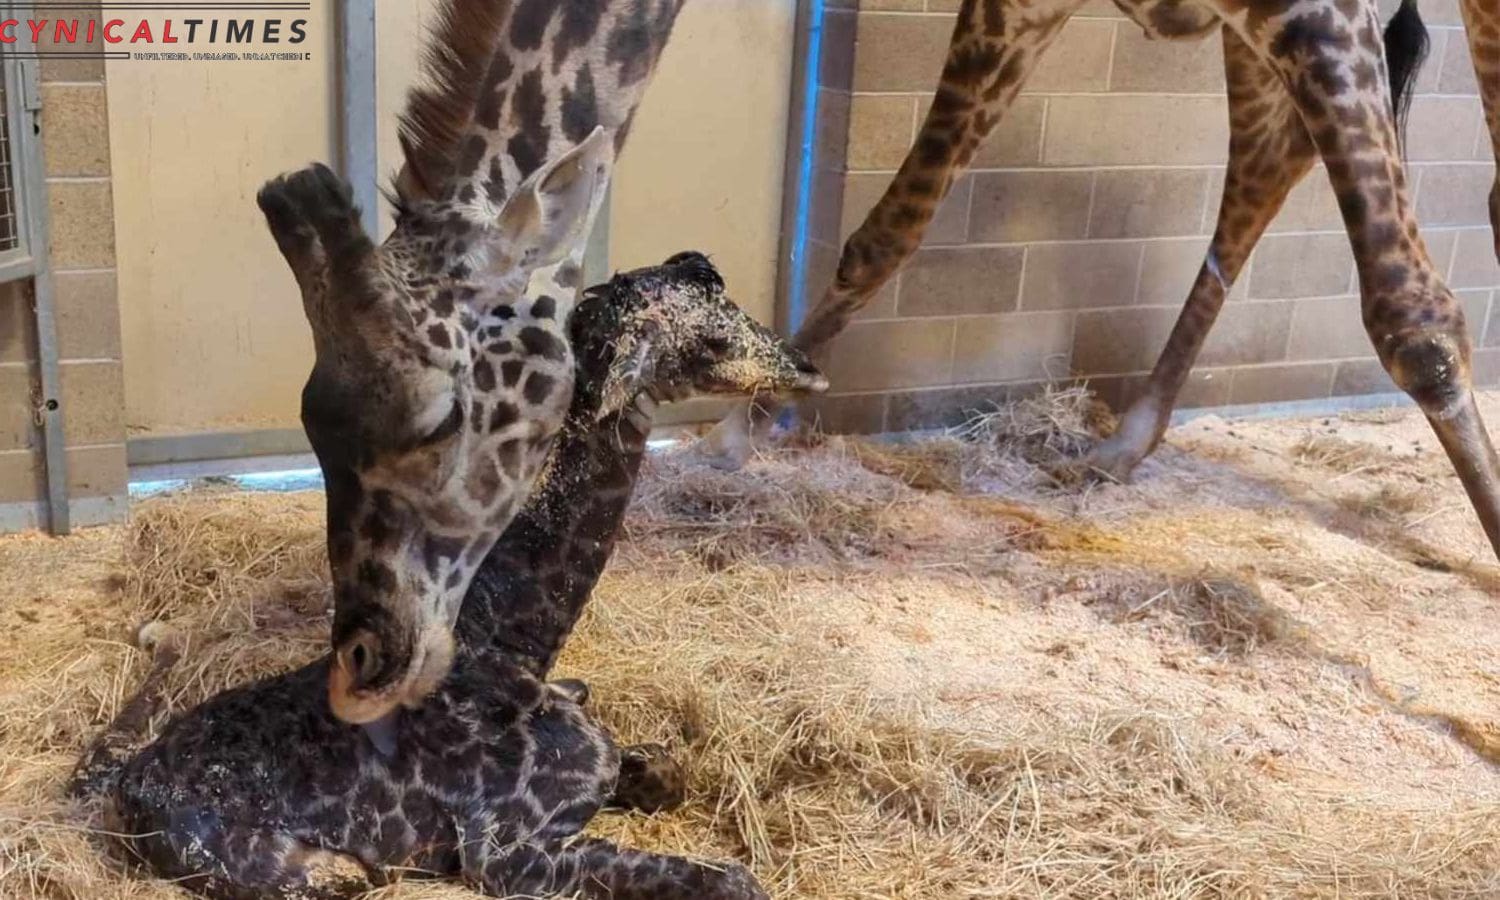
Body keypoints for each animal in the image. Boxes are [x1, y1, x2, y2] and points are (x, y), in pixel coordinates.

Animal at [76, 255, 828, 900]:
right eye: (713, 335)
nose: (809, 368)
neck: (514, 640)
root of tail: (128, 784)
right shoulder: (504, 849)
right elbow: (735, 880)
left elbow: (670, 771)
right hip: (327, 872)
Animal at [705, 0, 1500, 564]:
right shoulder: (1016, 4)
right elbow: (887, 232)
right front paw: (736, 431)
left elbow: (1417, 321)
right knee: (1270, 164)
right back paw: (1122, 447)